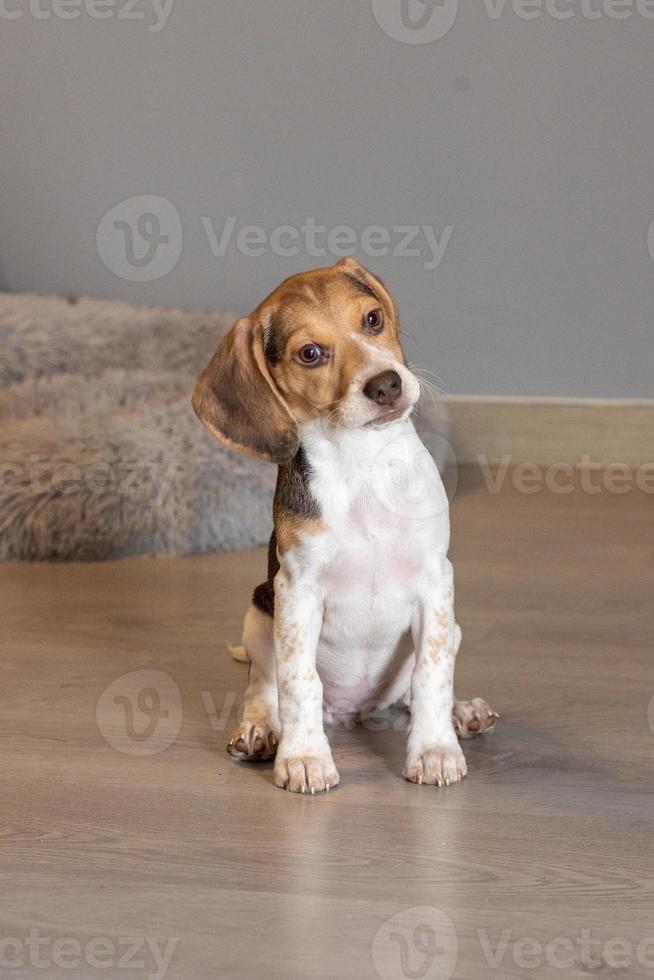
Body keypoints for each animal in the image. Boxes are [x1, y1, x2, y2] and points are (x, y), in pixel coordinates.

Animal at [192, 256, 500, 792]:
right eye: (311, 353)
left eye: (372, 320)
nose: (387, 385)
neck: (363, 465)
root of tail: (356, 713)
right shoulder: (297, 590)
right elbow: (298, 682)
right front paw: (304, 758)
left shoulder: (435, 581)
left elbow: (431, 673)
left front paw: (435, 749)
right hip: (260, 612)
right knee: (262, 686)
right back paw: (259, 731)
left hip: (451, 625)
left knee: (412, 693)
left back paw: (462, 713)